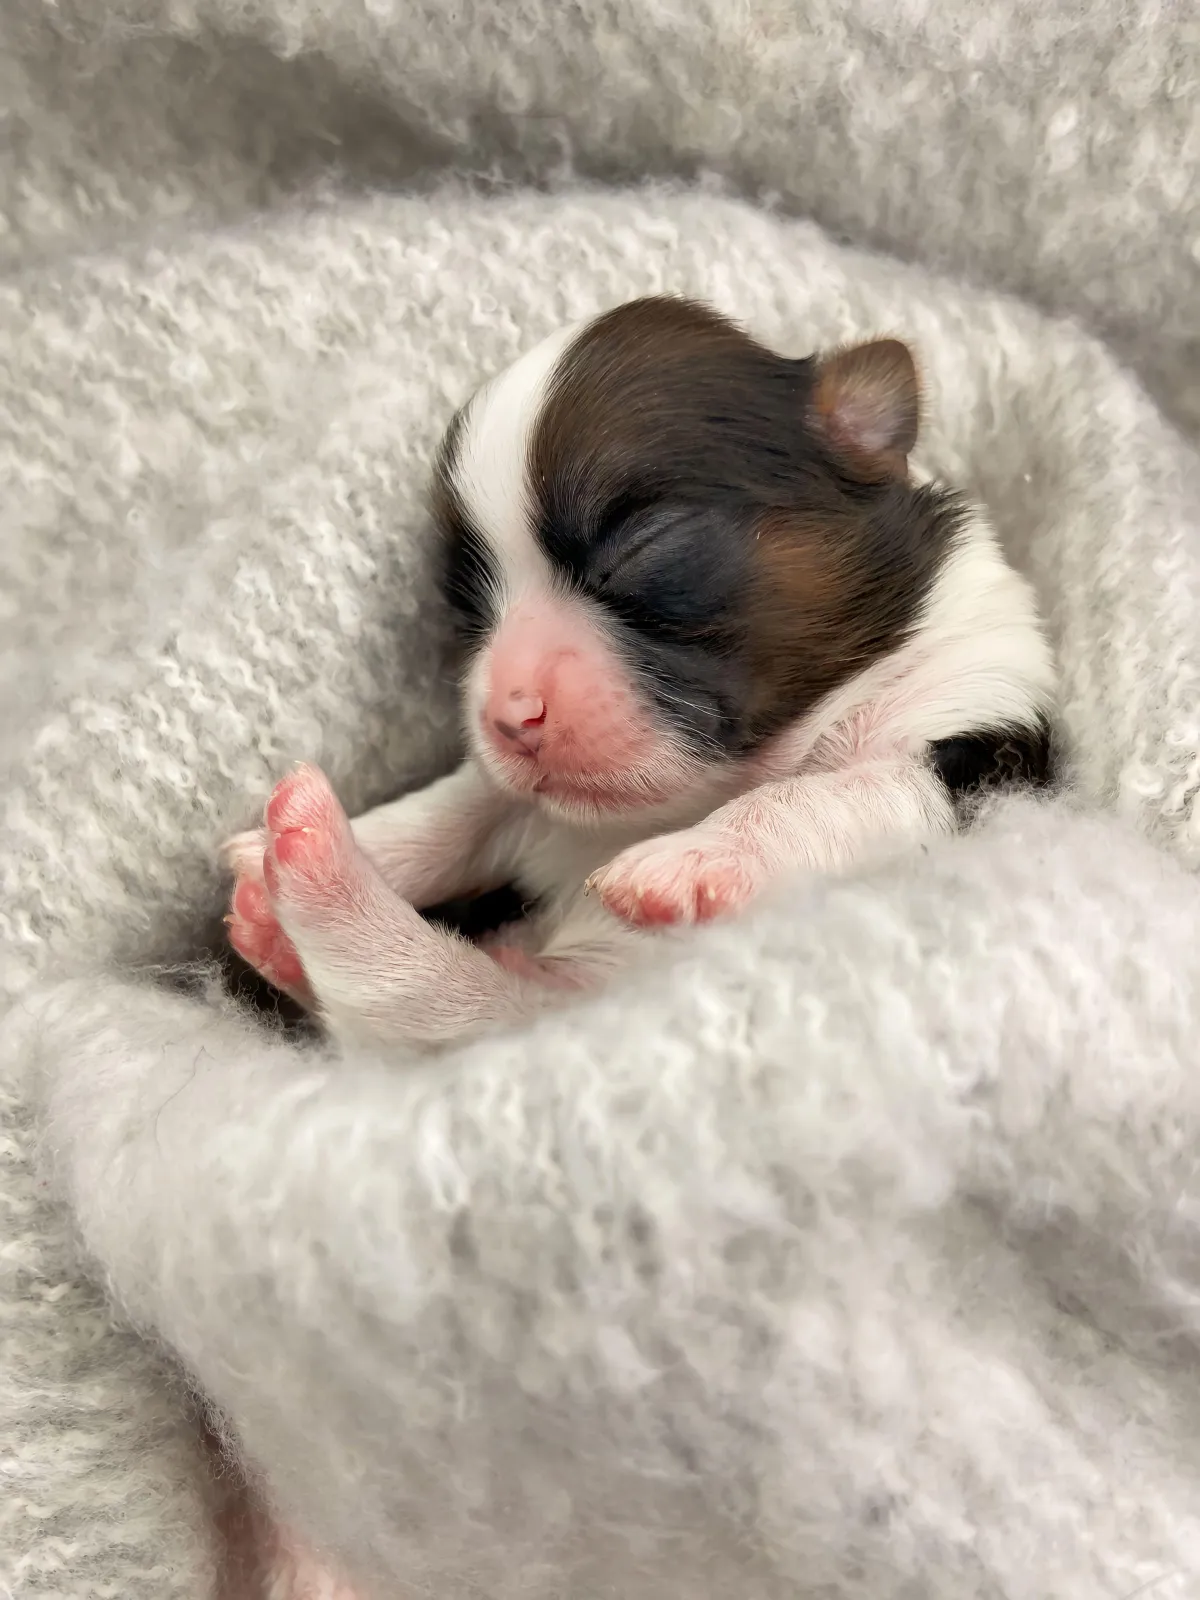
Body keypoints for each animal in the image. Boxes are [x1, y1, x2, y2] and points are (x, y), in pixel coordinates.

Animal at [220, 297, 1056, 1049]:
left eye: (641, 548)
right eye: (468, 602)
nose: (506, 716)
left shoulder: (979, 761)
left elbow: (833, 794)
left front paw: (698, 857)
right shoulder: (528, 805)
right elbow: (460, 808)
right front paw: (324, 843)